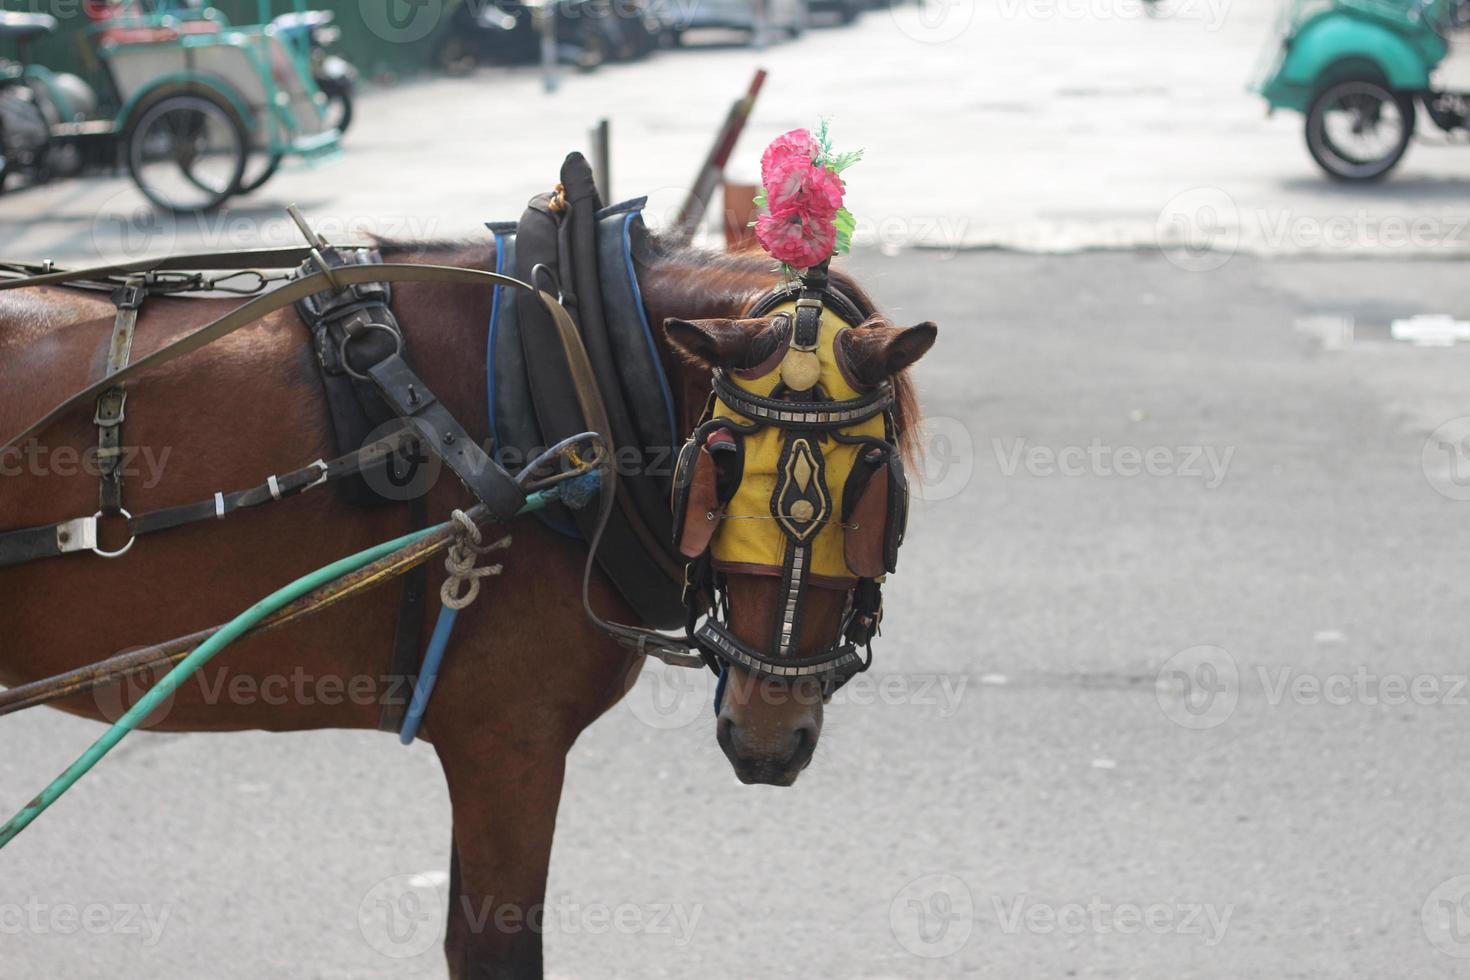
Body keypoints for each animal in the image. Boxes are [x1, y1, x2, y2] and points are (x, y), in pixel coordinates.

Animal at [0, 239, 934, 980]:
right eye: (721, 468)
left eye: (873, 487)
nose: (768, 734)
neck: (574, 371)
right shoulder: (508, 739)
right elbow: (495, 954)